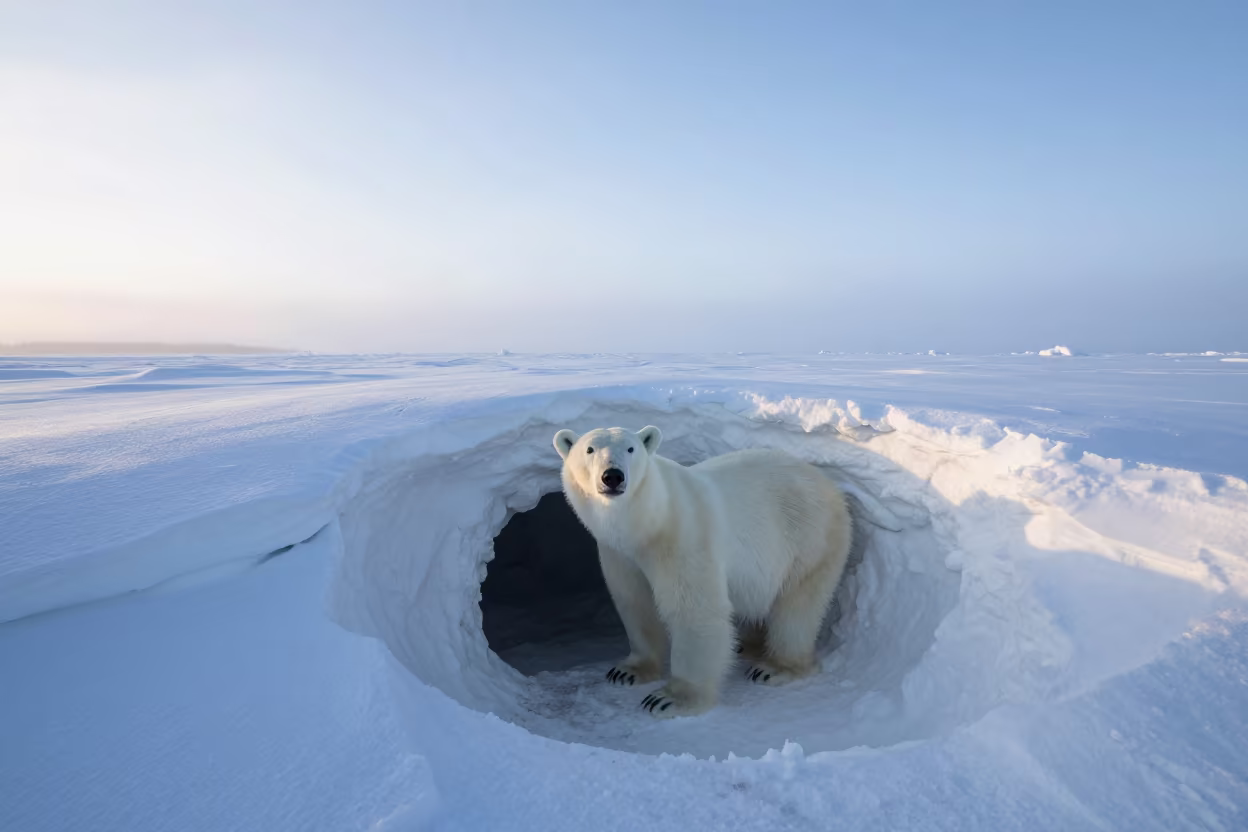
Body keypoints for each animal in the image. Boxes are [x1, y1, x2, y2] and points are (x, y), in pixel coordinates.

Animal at [553, 424, 853, 718]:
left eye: (630, 448)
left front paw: (669, 699)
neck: (647, 523)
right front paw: (627, 671)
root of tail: (829, 485)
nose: (613, 476)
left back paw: (775, 667)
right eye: (590, 449)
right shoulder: (619, 554)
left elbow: (694, 610)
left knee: (798, 607)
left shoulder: (683, 538)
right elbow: (636, 603)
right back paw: (746, 644)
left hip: (810, 539)